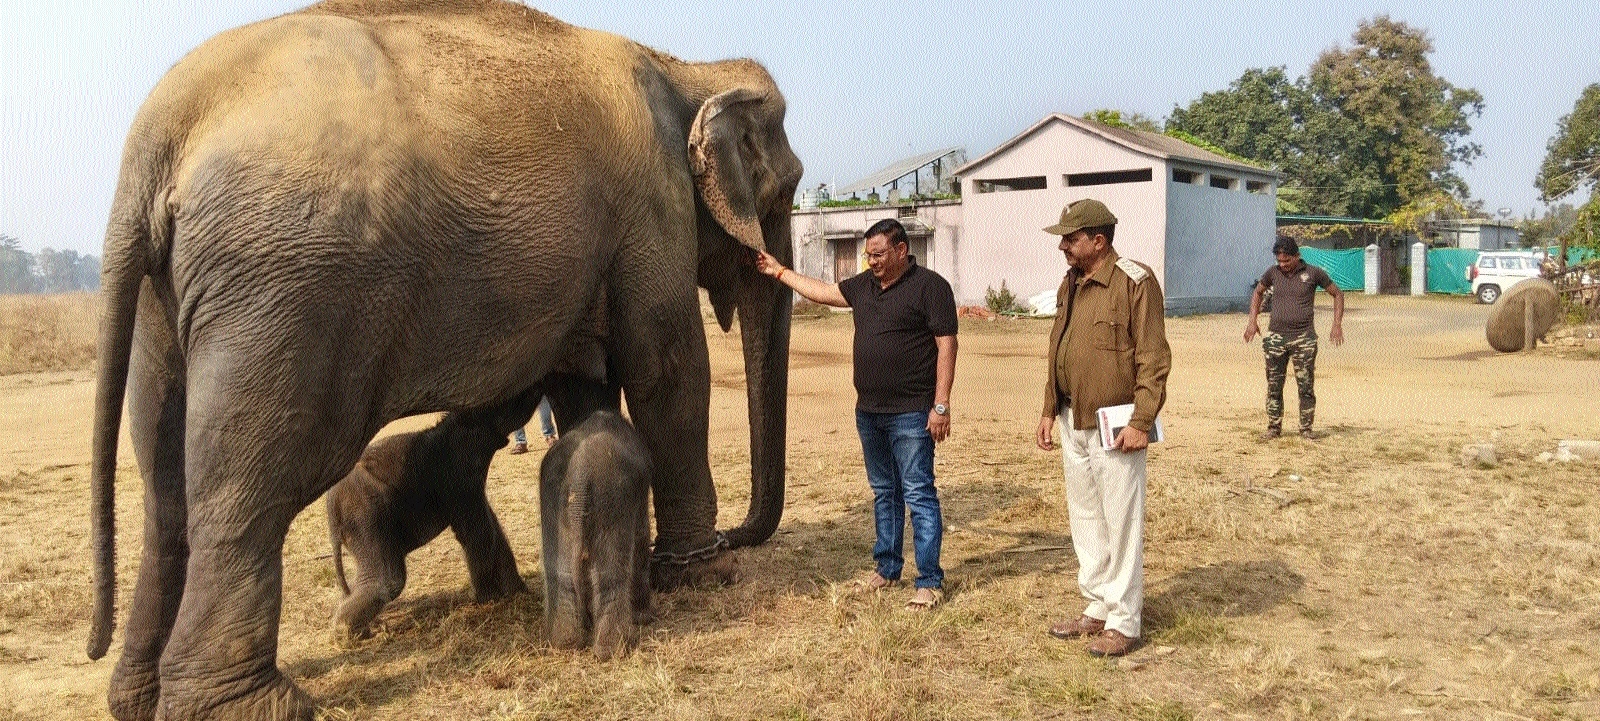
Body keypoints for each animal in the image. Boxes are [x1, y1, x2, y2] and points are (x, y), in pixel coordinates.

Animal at [325, 390, 541, 641]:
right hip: (365, 516)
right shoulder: (460, 477)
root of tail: (331, 507)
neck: (459, 423)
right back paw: (347, 635)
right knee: (388, 580)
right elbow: (477, 531)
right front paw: (490, 599)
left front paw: (518, 592)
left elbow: (491, 527)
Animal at [539, 409, 653, 660]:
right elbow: (641, 540)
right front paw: (644, 618)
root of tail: (580, 471)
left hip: (554, 501)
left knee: (561, 575)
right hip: (611, 499)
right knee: (611, 573)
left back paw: (564, 645)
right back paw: (612, 650)